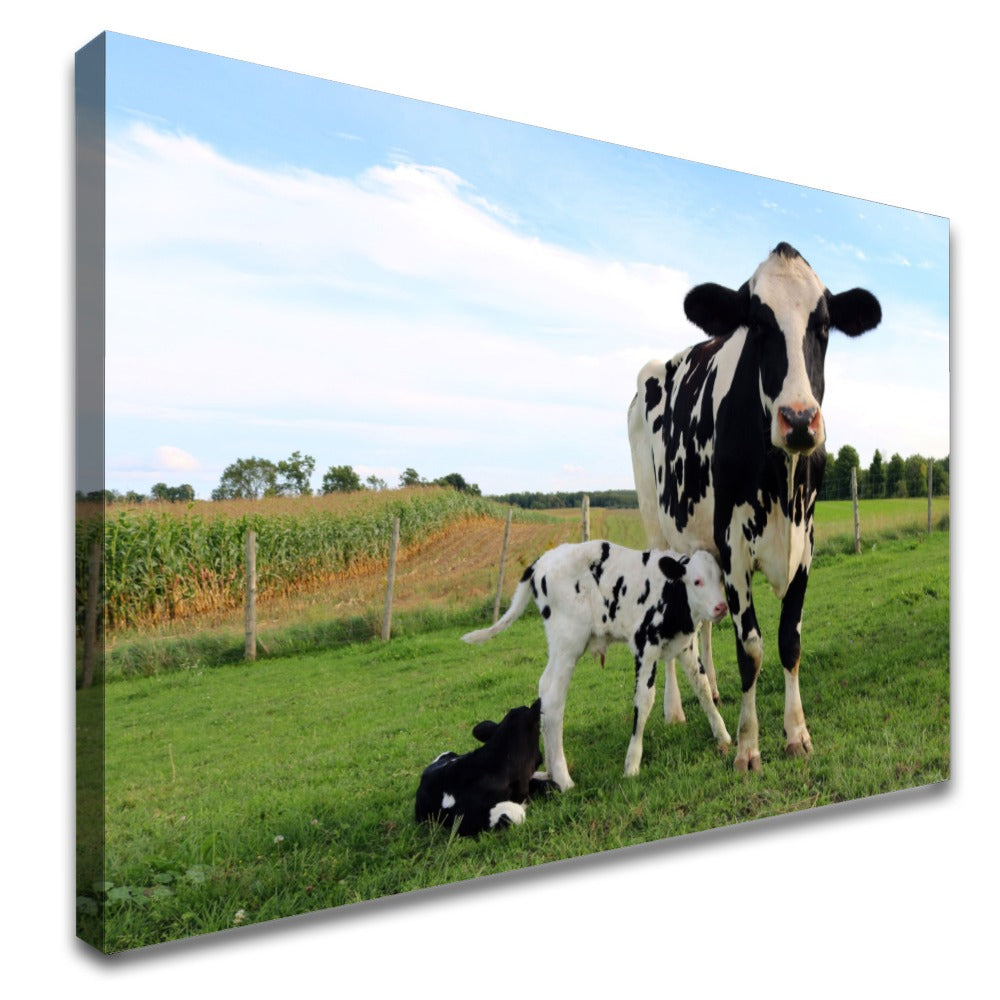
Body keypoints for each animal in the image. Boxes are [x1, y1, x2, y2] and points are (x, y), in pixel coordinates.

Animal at [462, 541, 730, 790]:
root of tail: (543, 560)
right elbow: (644, 701)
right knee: (553, 698)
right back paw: (564, 779)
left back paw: (550, 772)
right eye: (696, 581)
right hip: (568, 642)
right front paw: (632, 764)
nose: (721, 607)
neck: (672, 594)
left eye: (719, 578)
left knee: (544, 688)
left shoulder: (686, 646)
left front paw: (723, 735)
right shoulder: (645, 646)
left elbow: (703, 687)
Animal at [627, 242, 881, 771]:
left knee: (703, 622)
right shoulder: (735, 547)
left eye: (823, 326)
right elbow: (751, 648)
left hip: (699, 546)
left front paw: (796, 732)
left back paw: (712, 690)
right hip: (658, 529)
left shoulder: (804, 543)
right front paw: (747, 744)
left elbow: (789, 641)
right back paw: (676, 709)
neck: (781, 479)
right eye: (759, 325)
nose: (799, 419)